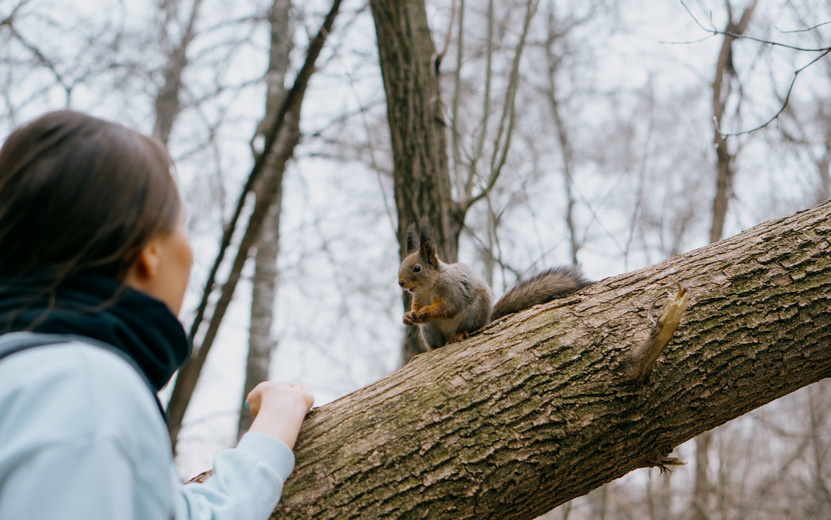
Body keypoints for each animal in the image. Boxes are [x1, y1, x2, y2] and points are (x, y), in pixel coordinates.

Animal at [398, 217, 588, 352]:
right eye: (401, 265)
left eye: (417, 268)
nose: (400, 283)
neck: (428, 288)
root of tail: (487, 318)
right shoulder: (418, 297)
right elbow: (416, 307)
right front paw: (408, 316)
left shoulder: (452, 290)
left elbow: (447, 307)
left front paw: (426, 311)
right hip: (429, 330)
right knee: (436, 343)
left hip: (474, 314)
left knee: (468, 328)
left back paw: (460, 334)